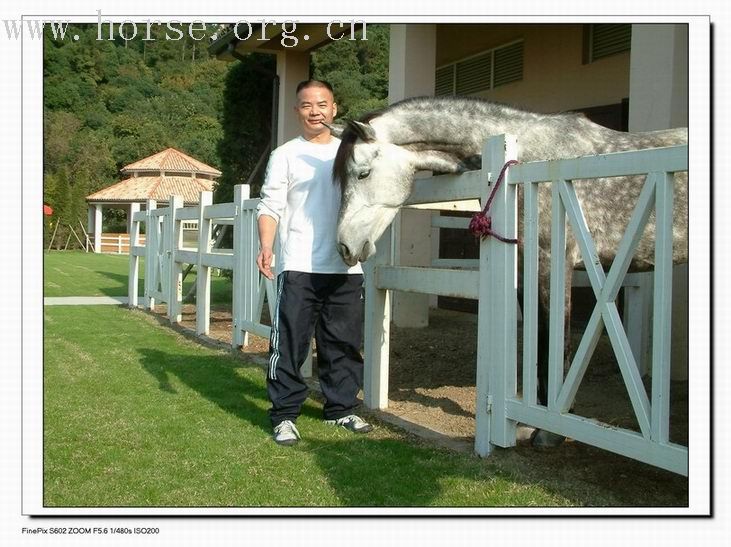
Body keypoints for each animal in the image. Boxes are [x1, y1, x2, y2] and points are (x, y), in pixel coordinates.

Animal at [328, 97, 688, 450]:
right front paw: (533, 426)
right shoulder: (524, 268)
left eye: (362, 173)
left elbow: (552, 340)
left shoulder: (551, 263)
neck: (532, 157)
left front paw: (549, 434)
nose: (344, 246)